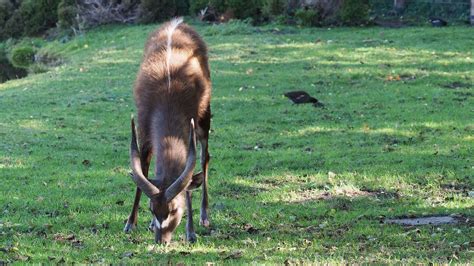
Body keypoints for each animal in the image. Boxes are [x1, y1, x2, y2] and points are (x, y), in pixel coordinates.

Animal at [123, 17, 212, 244]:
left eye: (174, 209)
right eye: (152, 209)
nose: (160, 240)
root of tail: (177, 22)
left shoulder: (190, 127)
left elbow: (188, 181)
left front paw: (191, 233)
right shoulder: (144, 133)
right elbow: (143, 174)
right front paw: (130, 223)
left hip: (205, 117)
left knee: (205, 157)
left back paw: (205, 216)